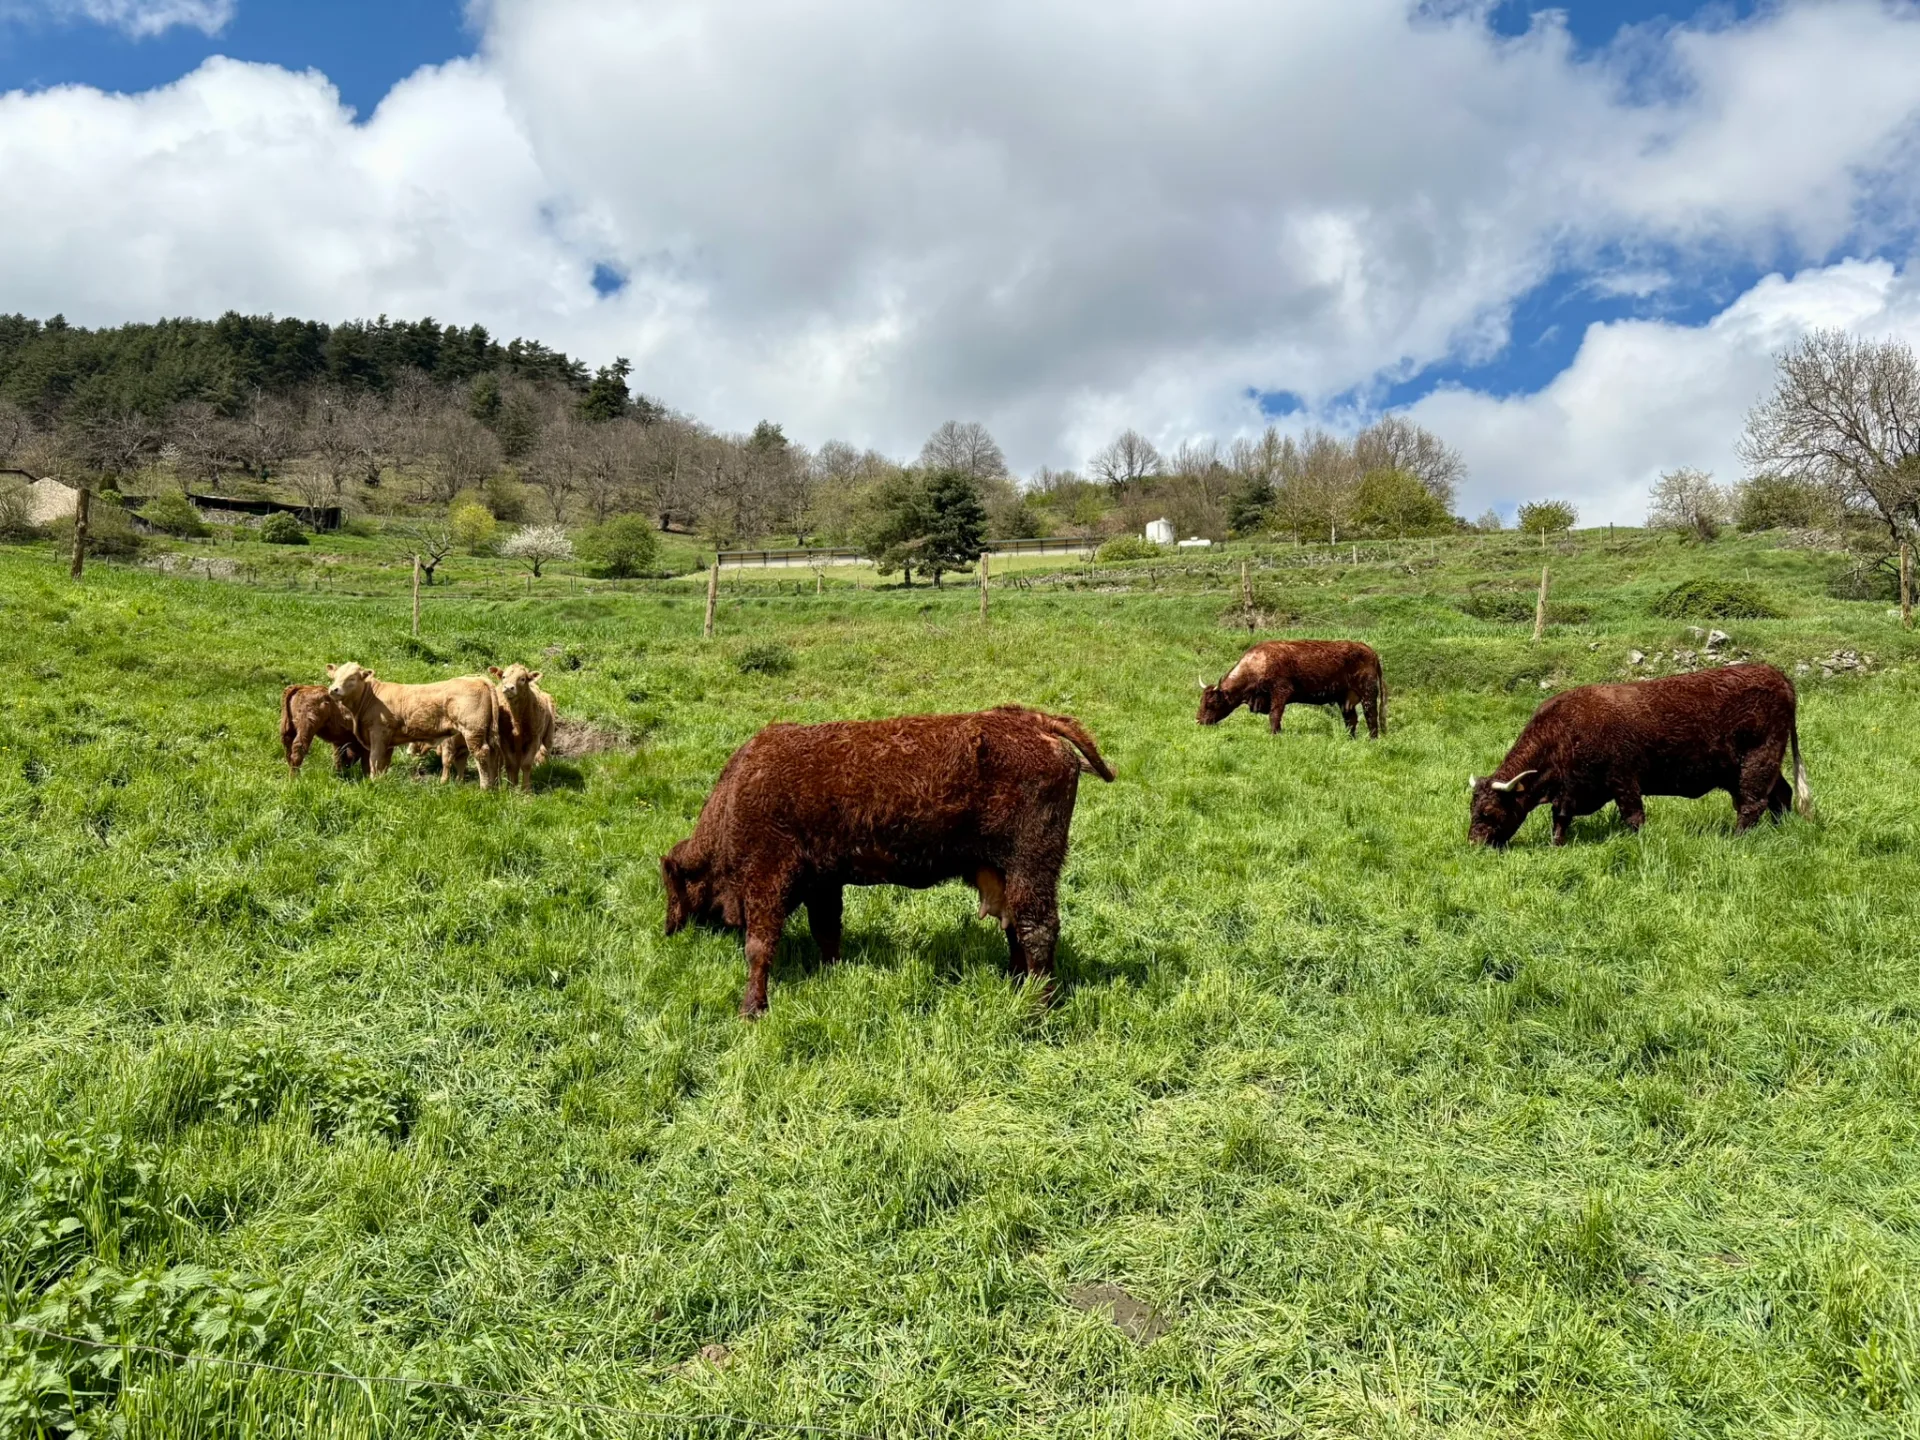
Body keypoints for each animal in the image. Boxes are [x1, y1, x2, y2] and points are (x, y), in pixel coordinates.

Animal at [323, 661, 503, 789]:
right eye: (335, 677)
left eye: (352, 678)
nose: (334, 689)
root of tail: (477, 678)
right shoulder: (388, 740)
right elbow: (384, 762)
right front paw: (381, 780)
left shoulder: (378, 733)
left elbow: (374, 758)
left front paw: (373, 781)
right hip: (486, 732)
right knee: (493, 754)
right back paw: (494, 786)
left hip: (472, 731)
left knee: (481, 754)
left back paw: (484, 788)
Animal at [662, 706, 1116, 1017]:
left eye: (675, 889)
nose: (672, 930)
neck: (736, 794)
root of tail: (1035, 720)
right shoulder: (823, 883)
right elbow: (827, 933)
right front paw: (832, 975)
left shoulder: (767, 878)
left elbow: (758, 947)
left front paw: (751, 1009)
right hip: (1008, 874)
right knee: (1016, 929)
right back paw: (1016, 987)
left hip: (1031, 867)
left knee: (1038, 929)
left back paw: (1037, 1007)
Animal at [1197, 640, 1386, 738]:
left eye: (1213, 702)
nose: (1199, 721)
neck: (1259, 663)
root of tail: (1370, 651)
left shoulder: (1280, 693)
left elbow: (1274, 715)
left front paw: (1274, 734)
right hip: (1345, 700)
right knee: (1351, 719)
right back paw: (1350, 739)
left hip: (1368, 694)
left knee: (1371, 716)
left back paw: (1372, 739)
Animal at [1468, 663, 1811, 847]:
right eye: (1471, 809)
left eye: (1488, 812)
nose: (1474, 844)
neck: (1563, 732)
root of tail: (1777, 675)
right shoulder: (1570, 791)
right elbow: (1560, 821)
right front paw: (1557, 845)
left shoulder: (1623, 779)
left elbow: (1633, 817)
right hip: (1757, 766)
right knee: (1780, 794)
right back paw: (1780, 829)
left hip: (1758, 758)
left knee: (1752, 804)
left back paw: (1736, 840)